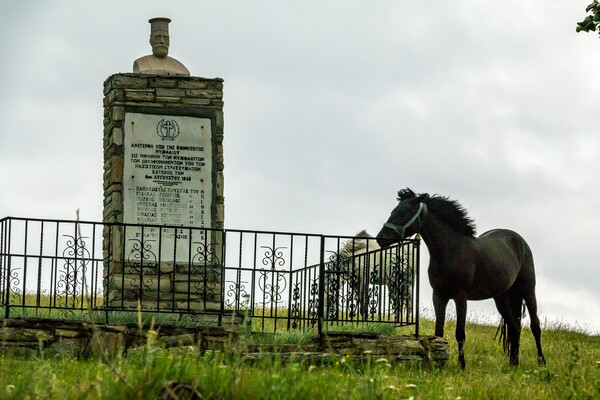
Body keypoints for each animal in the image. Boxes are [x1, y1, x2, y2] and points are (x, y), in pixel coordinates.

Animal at [378, 188, 548, 368]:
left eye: (403, 212)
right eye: (393, 211)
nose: (381, 238)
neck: (450, 251)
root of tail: (520, 240)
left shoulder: (461, 296)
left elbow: (460, 332)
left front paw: (462, 365)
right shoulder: (439, 295)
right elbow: (439, 331)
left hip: (528, 290)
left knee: (535, 325)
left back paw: (541, 362)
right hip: (501, 297)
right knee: (514, 326)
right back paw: (513, 363)